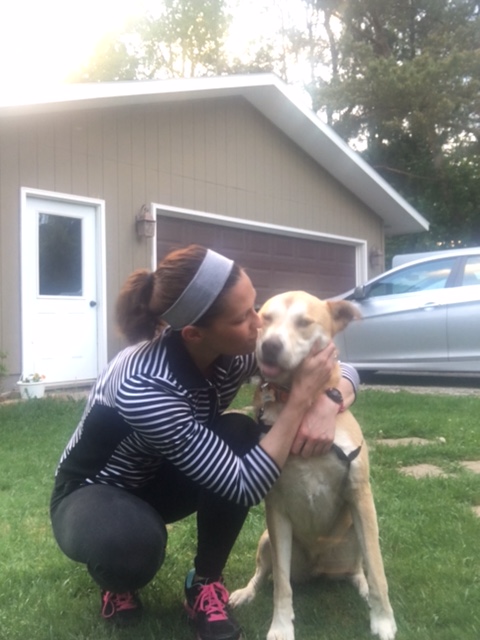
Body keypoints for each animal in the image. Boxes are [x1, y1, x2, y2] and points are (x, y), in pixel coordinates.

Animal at [229, 291, 397, 640]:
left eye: (304, 322)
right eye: (265, 318)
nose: (270, 346)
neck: (298, 404)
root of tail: (319, 567)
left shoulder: (361, 496)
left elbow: (377, 570)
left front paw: (384, 621)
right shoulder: (276, 509)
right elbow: (280, 584)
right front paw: (281, 626)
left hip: (355, 534)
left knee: (359, 567)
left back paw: (361, 586)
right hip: (266, 540)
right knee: (263, 573)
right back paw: (245, 593)